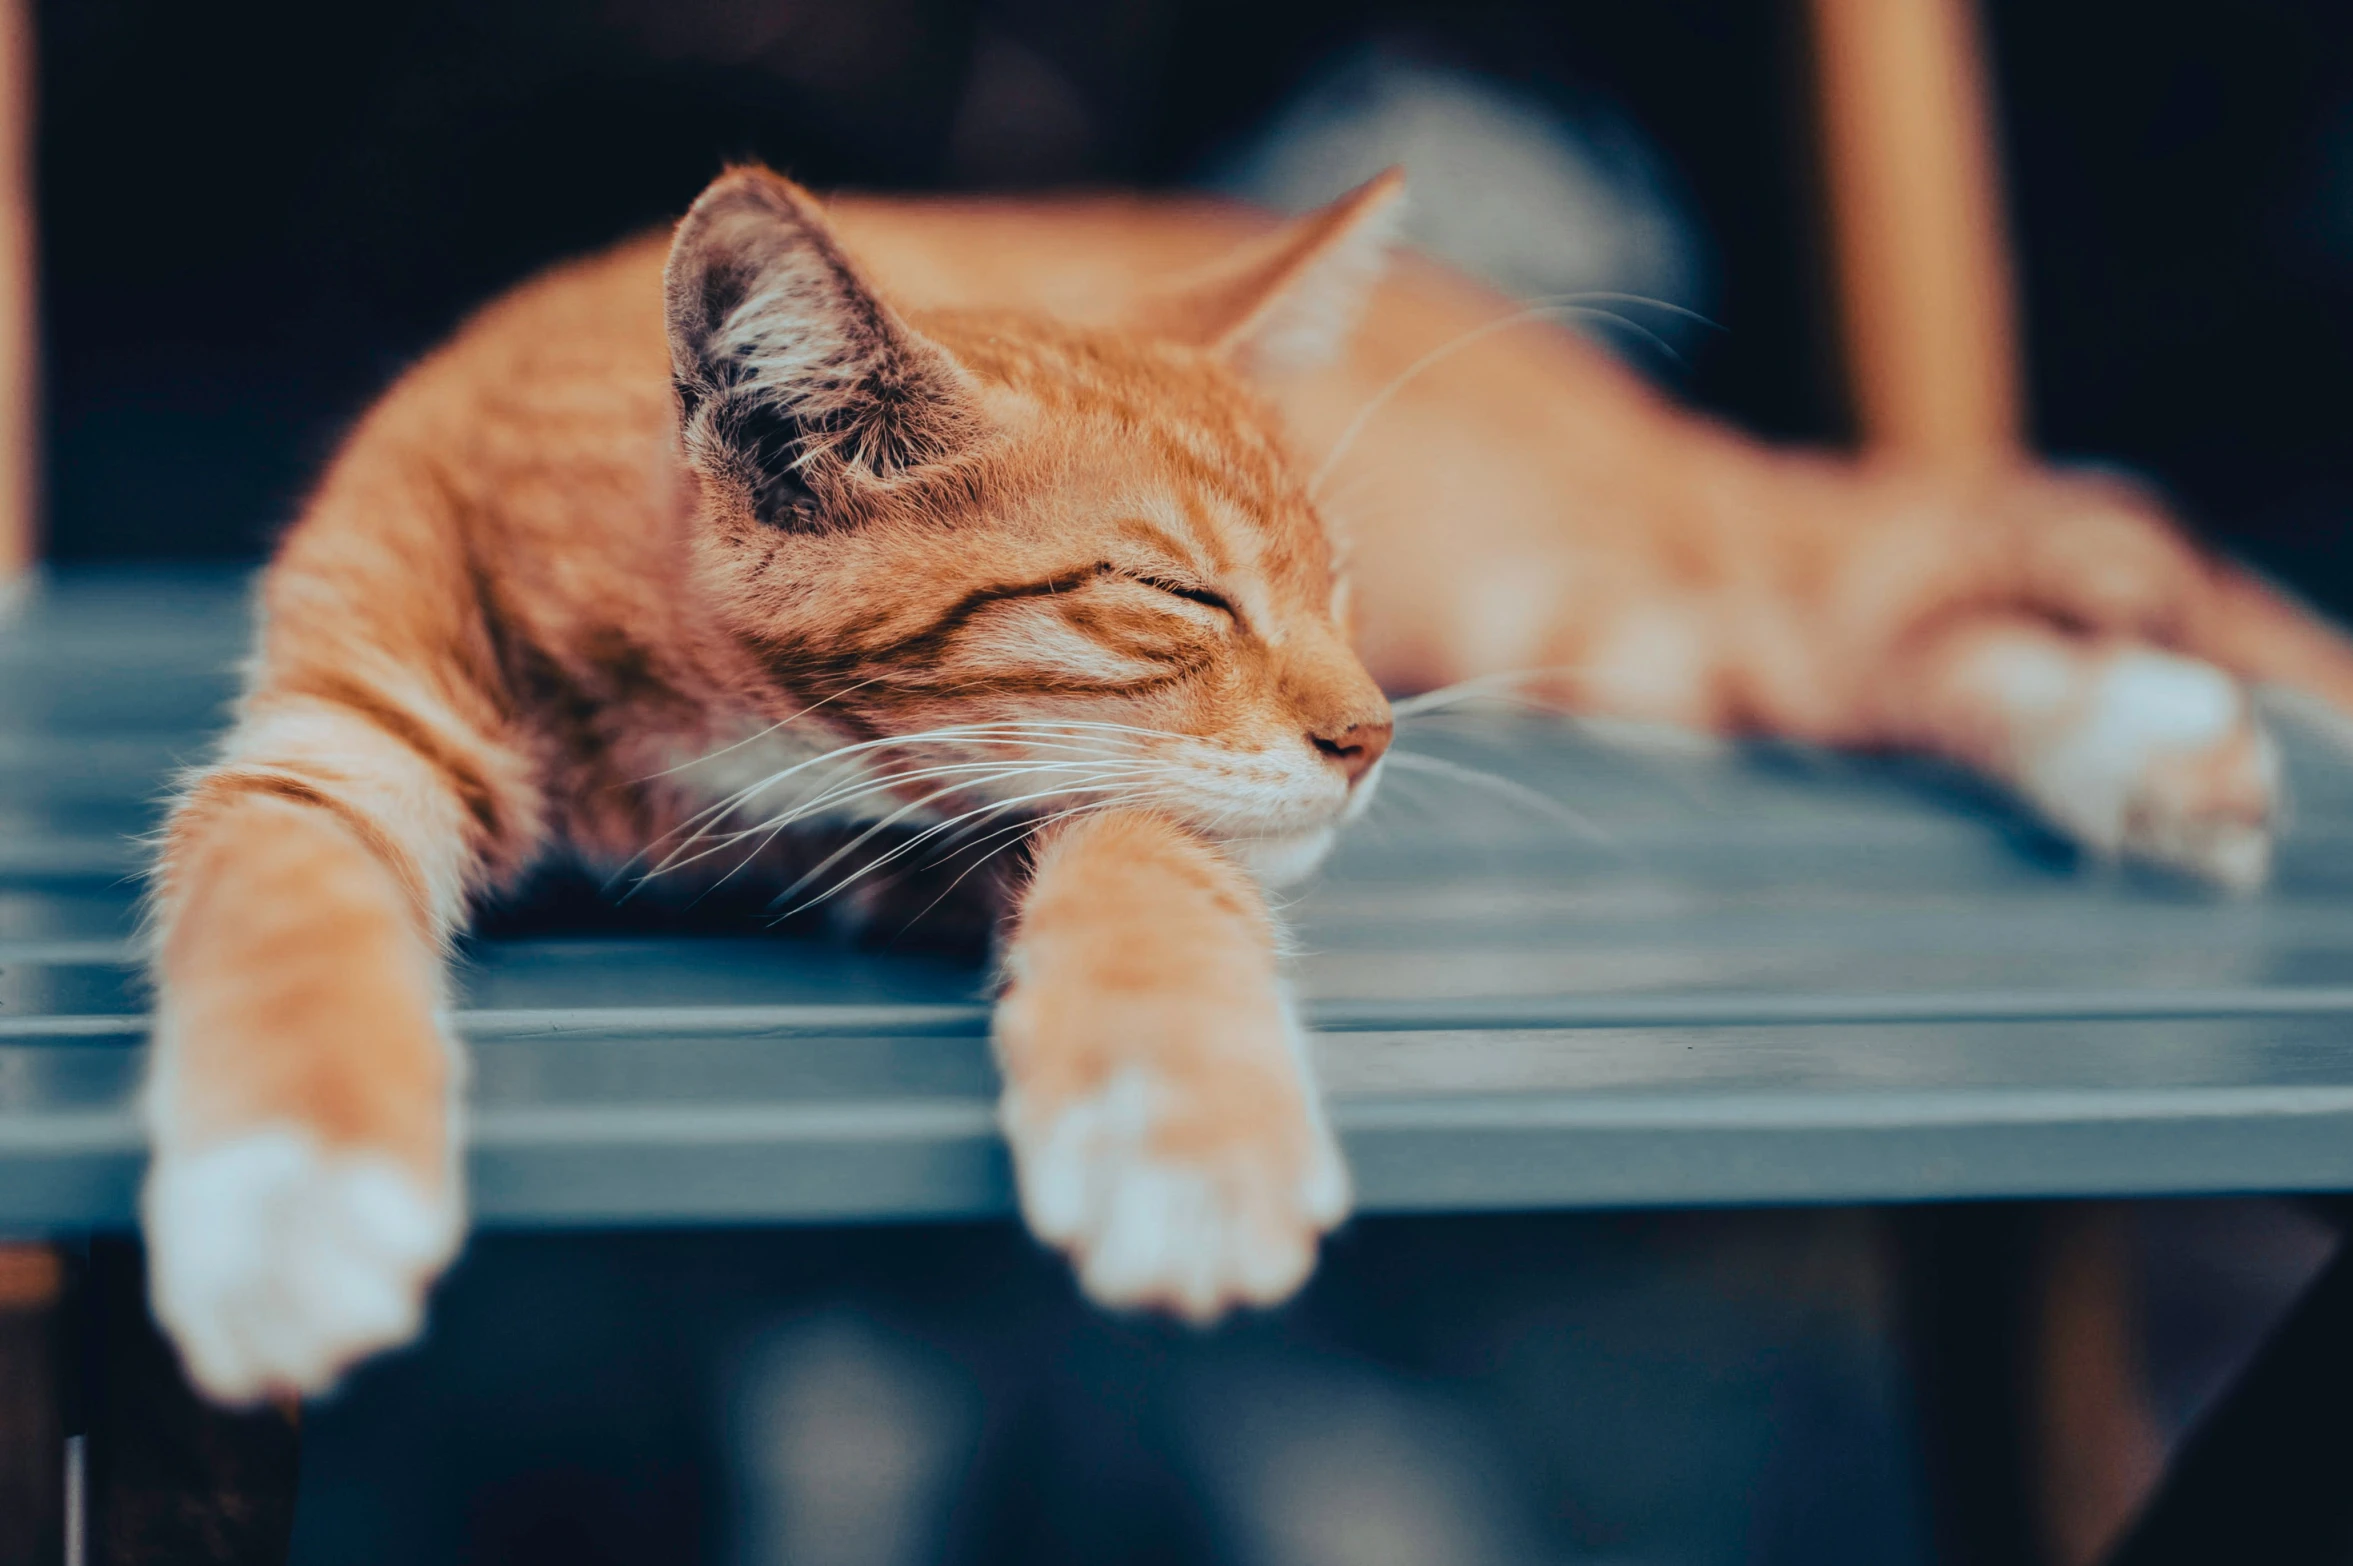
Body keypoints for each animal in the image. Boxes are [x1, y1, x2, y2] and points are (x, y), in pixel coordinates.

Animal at [142, 164, 2353, 1392]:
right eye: (1180, 593)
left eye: (1331, 591)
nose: (1371, 735)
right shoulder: (324, 739)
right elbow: (277, 917)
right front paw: (283, 1210)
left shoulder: (1105, 801)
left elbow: (1152, 874)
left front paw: (1177, 1135)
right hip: (1643, 643)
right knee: (1898, 638)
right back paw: (2140, 747)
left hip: (1613, 583)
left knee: (2002, 544)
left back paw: (2171, 724)